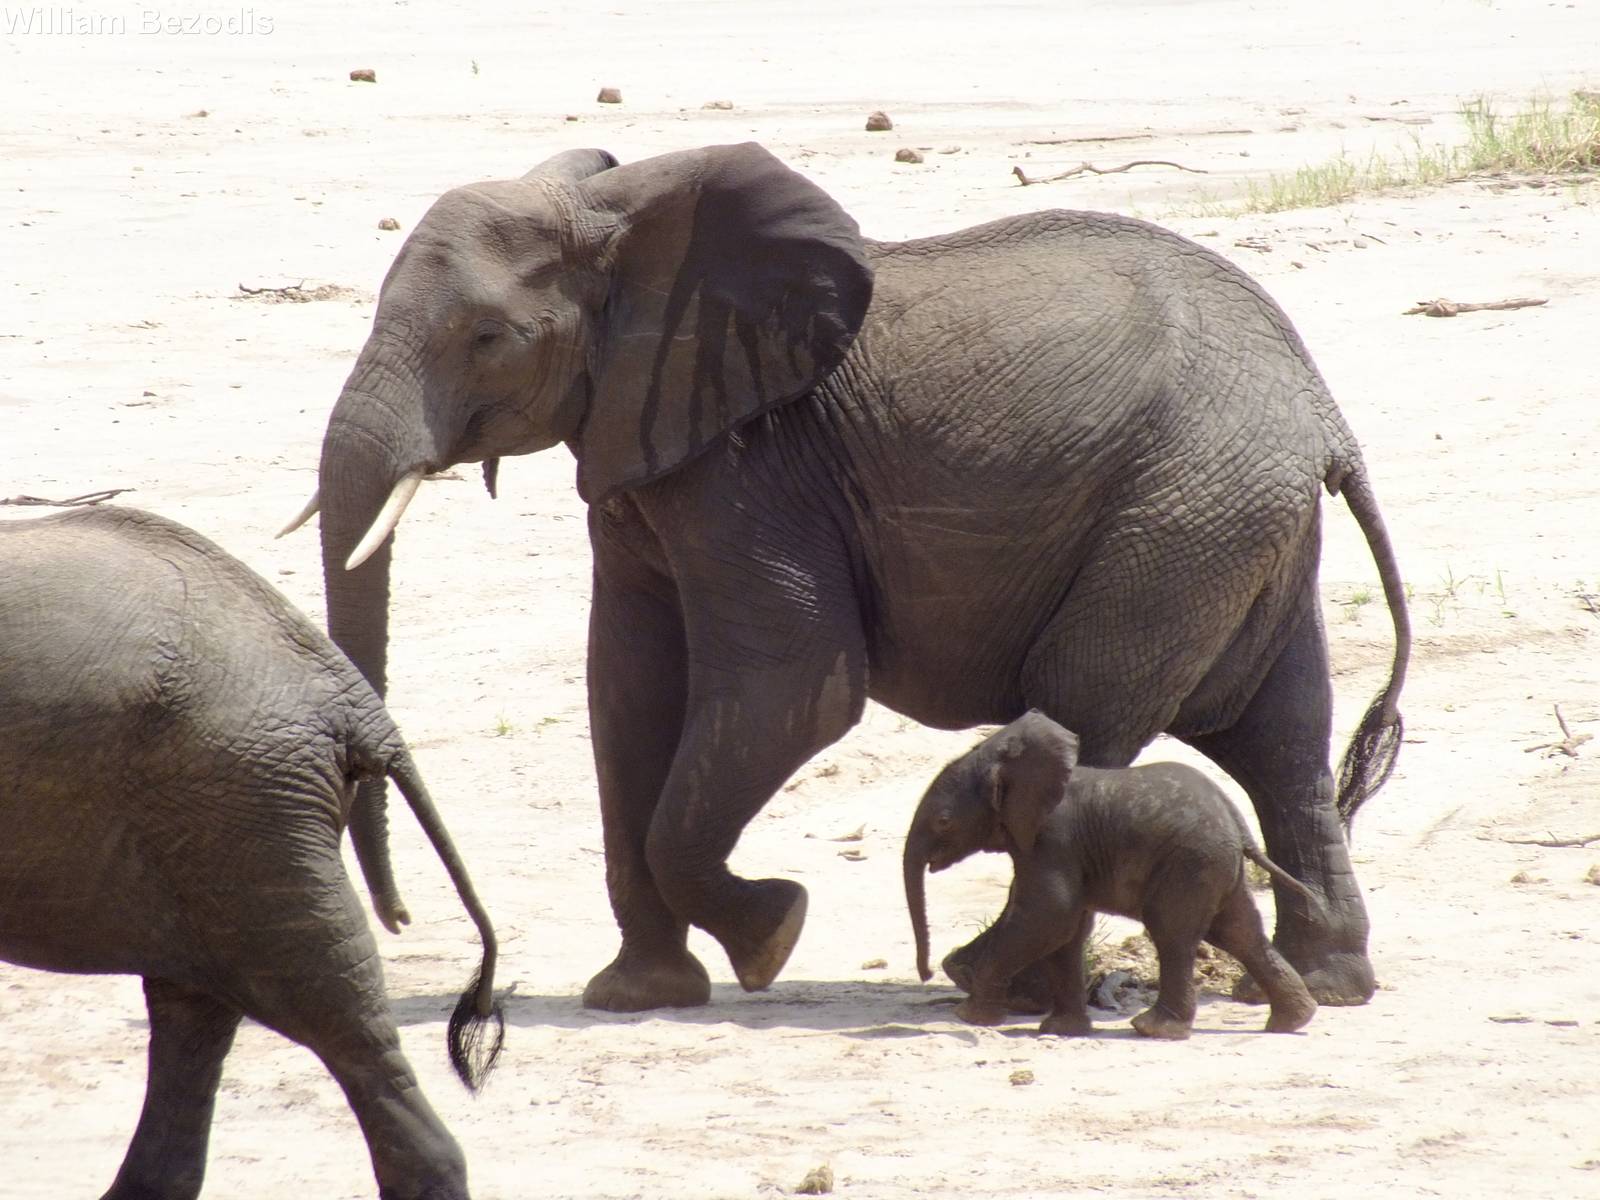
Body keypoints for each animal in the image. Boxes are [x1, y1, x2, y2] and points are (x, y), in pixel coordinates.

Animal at [904, 711, 1319, 1039]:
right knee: (1239, 932)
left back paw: (1154, 1029)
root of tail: (1238, 825)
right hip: (1216, 869)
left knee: (1173, 934)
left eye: (943, 822)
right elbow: (1068, 930)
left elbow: (1049, 916)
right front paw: (1063, 1030)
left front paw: (970, 1017)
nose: (926, 973)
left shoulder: (1052, 839)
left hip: (1190, 864)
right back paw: (1292, 1022)